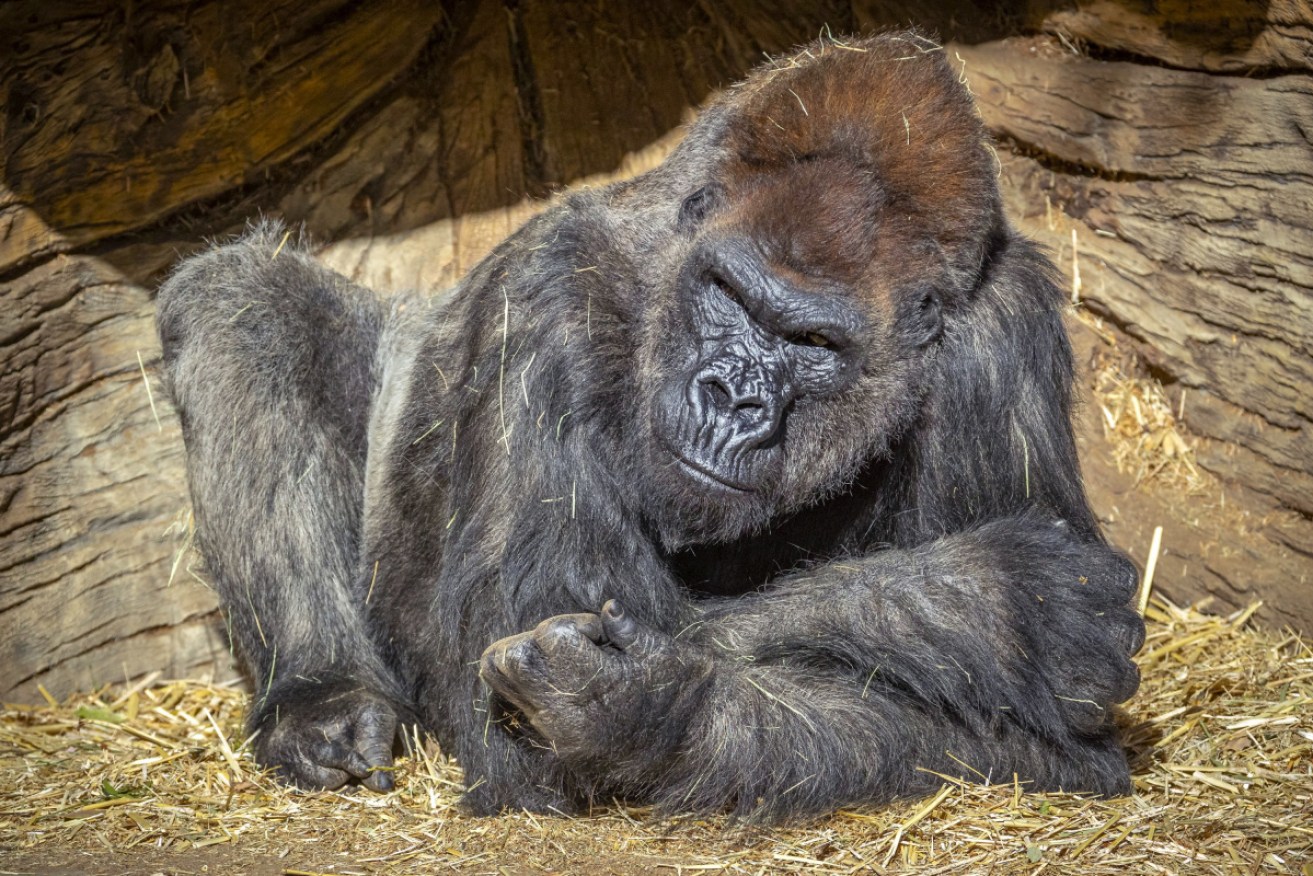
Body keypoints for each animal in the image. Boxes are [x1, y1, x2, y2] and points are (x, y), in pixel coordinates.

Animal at [153, 30, 1144, 819]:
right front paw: (996, 603)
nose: (731, 397)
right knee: (246, 302)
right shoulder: (545, 297)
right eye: (728, 296)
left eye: (812, 342)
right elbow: (513, 705)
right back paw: (320, 698)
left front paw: (642, 710)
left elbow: (1045, 752)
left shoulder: (1000, 336)